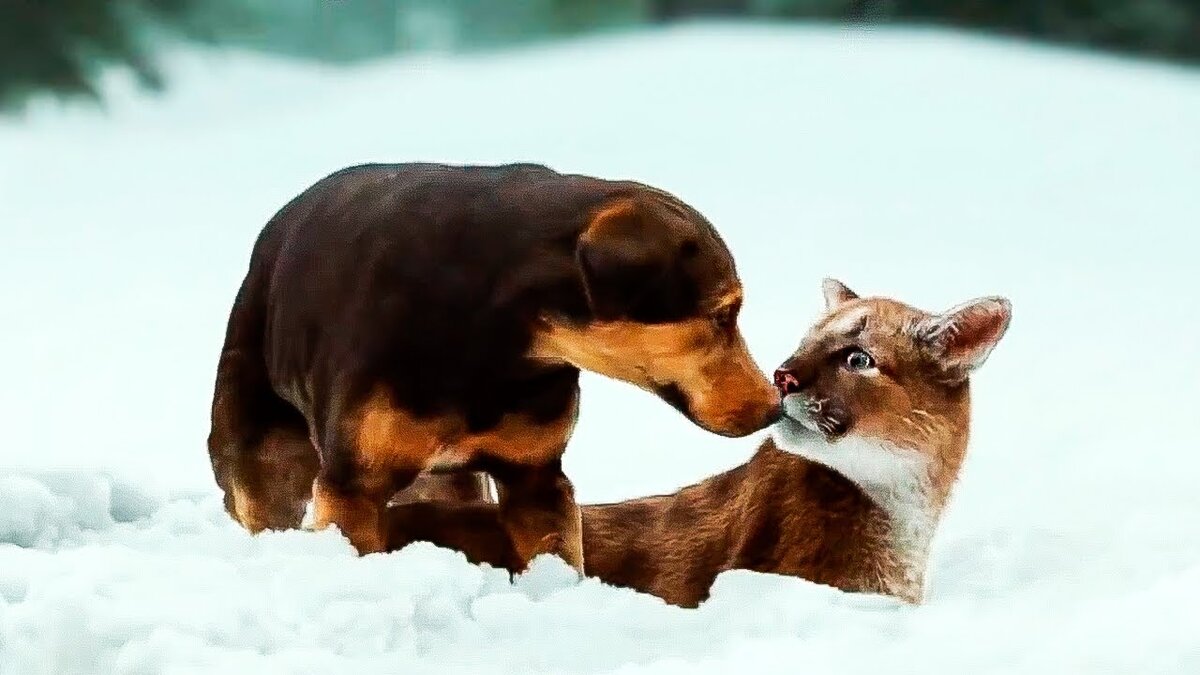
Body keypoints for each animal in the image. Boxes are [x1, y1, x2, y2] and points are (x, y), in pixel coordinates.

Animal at [207, 162, 782, 566]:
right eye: (723, 314)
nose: (774, 406)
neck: (502, 343)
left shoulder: (536, 478)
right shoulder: (353, 486)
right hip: (258, 451)